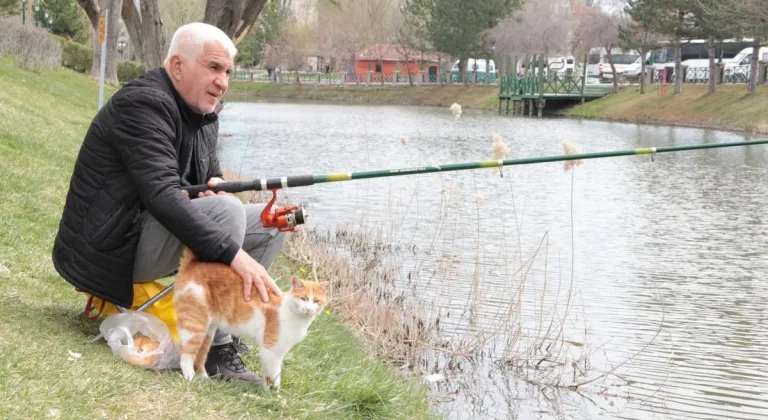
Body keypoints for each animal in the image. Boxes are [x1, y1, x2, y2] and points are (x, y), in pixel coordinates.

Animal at [172, 248, 328, 388]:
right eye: (303, 298)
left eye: (316, 301)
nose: (308, 309)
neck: (292, 314)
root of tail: (193, 264)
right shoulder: (270, 350)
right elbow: (273, 375)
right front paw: (272, 394)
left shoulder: (279, 352)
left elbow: (273, 375)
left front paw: (270, 390)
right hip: (195, 325)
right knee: (186, 354)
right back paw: (189, 376)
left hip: (208, 332)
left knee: (200, 356)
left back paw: (203, 377)